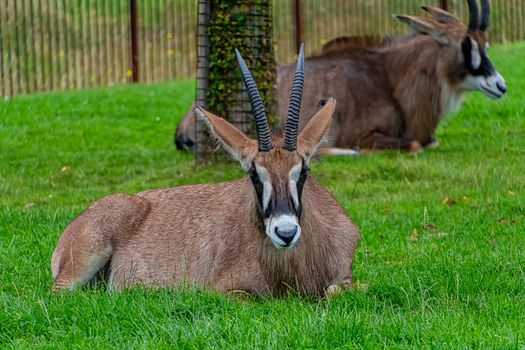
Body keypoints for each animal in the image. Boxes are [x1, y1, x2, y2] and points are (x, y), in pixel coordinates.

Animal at [50, 46, 360, 296]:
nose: (285, 232)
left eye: (303, 171)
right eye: (254, 174)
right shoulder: (225, 291)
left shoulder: (347, 279)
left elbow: (336, 290)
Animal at [175, 0, 504, 153]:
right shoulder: (367, 135)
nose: (499, 85)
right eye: (466, 45)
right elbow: (413, 144)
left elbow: (429, 142)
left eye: (485, 44)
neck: (389, 79)